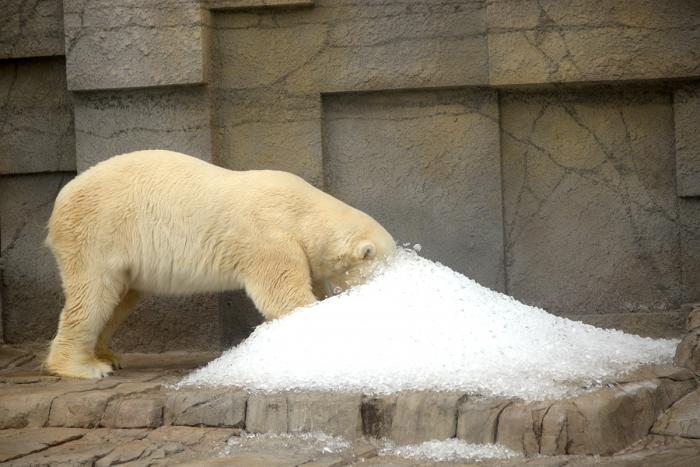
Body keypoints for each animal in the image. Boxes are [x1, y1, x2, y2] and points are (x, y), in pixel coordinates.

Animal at [43, 151, 396, 380]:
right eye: (386, 265)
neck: (301, 211)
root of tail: (61, 199)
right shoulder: (269, 238)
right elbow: (284, 296)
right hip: (98, 234)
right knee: (93, 296)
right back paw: (84, 367)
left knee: (118, 299)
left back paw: (107, 356)